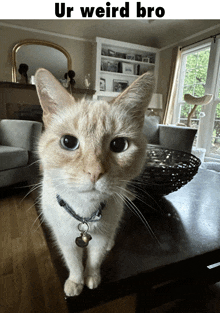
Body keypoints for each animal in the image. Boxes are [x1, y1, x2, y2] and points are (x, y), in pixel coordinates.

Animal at [34, 67, 155, 294]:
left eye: (119, 145)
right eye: (68, 142)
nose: (95, 172)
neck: (85, 213)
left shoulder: (100, 237)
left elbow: (94, 260)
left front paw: (92, 278)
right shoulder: (65, 239)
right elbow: (73, 262)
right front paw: (76, 283)